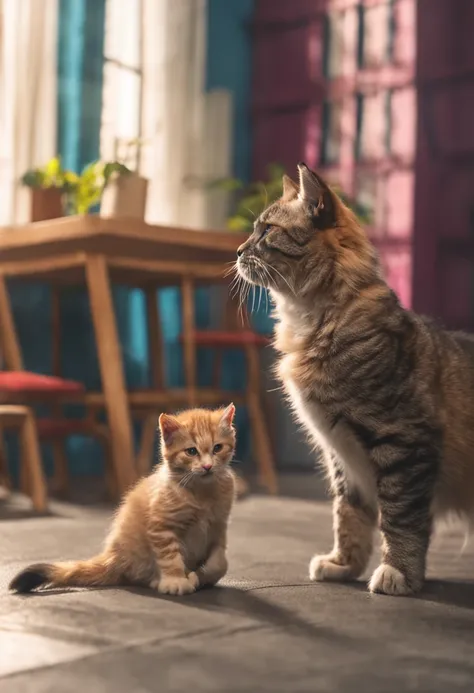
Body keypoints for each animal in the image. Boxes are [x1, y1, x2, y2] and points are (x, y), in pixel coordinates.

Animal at [9, 406, 235, 596]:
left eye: (217, 448)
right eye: (191, 451)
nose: (207, 466)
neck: (203, 493)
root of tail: (111, 556)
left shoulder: (218, 527)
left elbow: (220, 563)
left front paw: (202, 575)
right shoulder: (161, 527)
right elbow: (170, 557)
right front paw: (175, 580)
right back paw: (158, 580)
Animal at [239, 162, 474, 596]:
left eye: (266, 231)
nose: (238, 251)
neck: (317, 320)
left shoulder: (403, 440)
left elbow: (401, 518)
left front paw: (399, 571)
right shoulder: (341, 453)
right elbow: (349, 515)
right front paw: (343, 564)